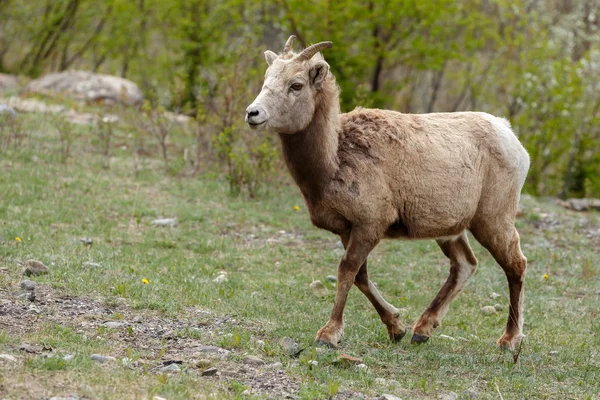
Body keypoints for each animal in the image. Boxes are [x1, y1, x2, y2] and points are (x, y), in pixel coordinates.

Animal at [245, 36, 528, 350]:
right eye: (267, 78)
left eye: (296, 85)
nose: (252, 114)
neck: (334, 158)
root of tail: (509, 134)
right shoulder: (348, 229)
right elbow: (361, 277)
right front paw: (396, 327)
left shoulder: (370, 225)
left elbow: (347, 271)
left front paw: (329, 334)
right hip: (451, 230)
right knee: (465, 265)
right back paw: (421, 330)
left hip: (493, 221)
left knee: (515, 265)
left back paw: (509, 340)